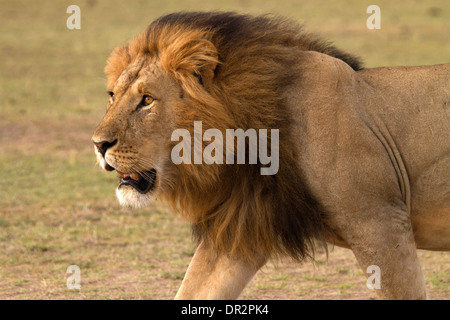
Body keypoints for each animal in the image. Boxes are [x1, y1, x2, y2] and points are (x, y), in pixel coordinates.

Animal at [92, 11, 450, 298]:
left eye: (147, 100)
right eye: (112, 95)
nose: (98, 144)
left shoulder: (380, 222)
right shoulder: (243, 226)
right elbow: (195, 288)